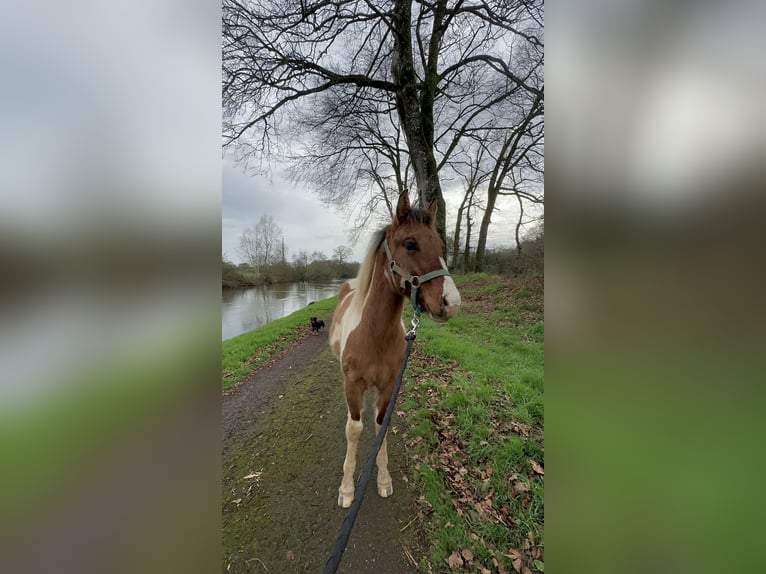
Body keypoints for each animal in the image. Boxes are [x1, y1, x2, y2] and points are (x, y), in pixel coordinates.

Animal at [330, 194, 462, 508]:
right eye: (410, 243)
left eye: (440, 245)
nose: (452, 302)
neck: (373, 336)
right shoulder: (352, 386)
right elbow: (354, 430)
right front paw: (347, 489)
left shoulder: (389, 386)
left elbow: (381, 427)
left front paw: (383, 479)